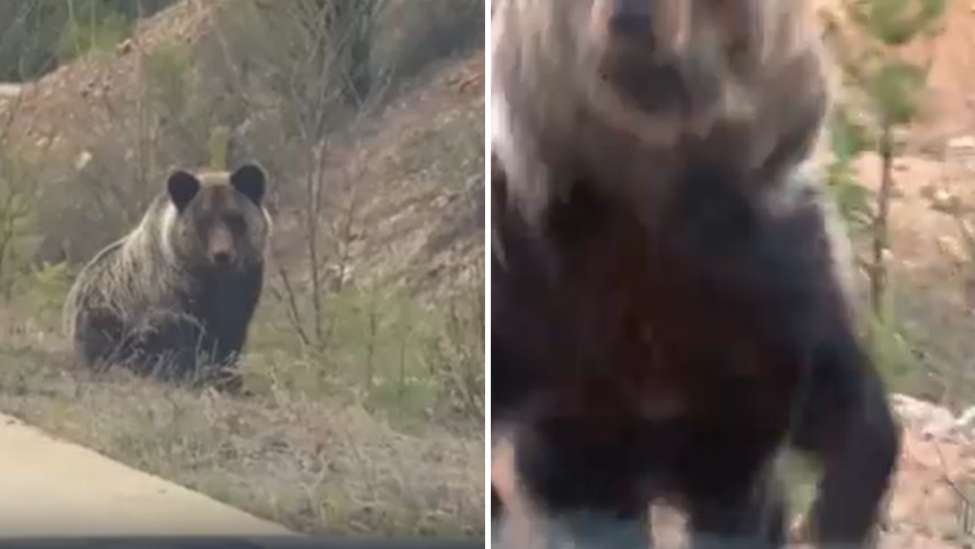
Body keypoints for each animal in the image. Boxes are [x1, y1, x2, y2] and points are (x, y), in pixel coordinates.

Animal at [62, 163, 273, 392]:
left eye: (235, 218)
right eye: (204, 220)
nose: (222, 254)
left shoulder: (242, 291)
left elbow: (228, 338)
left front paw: (229, 379)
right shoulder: (168, 299)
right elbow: (178, 344)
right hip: (103, 313)